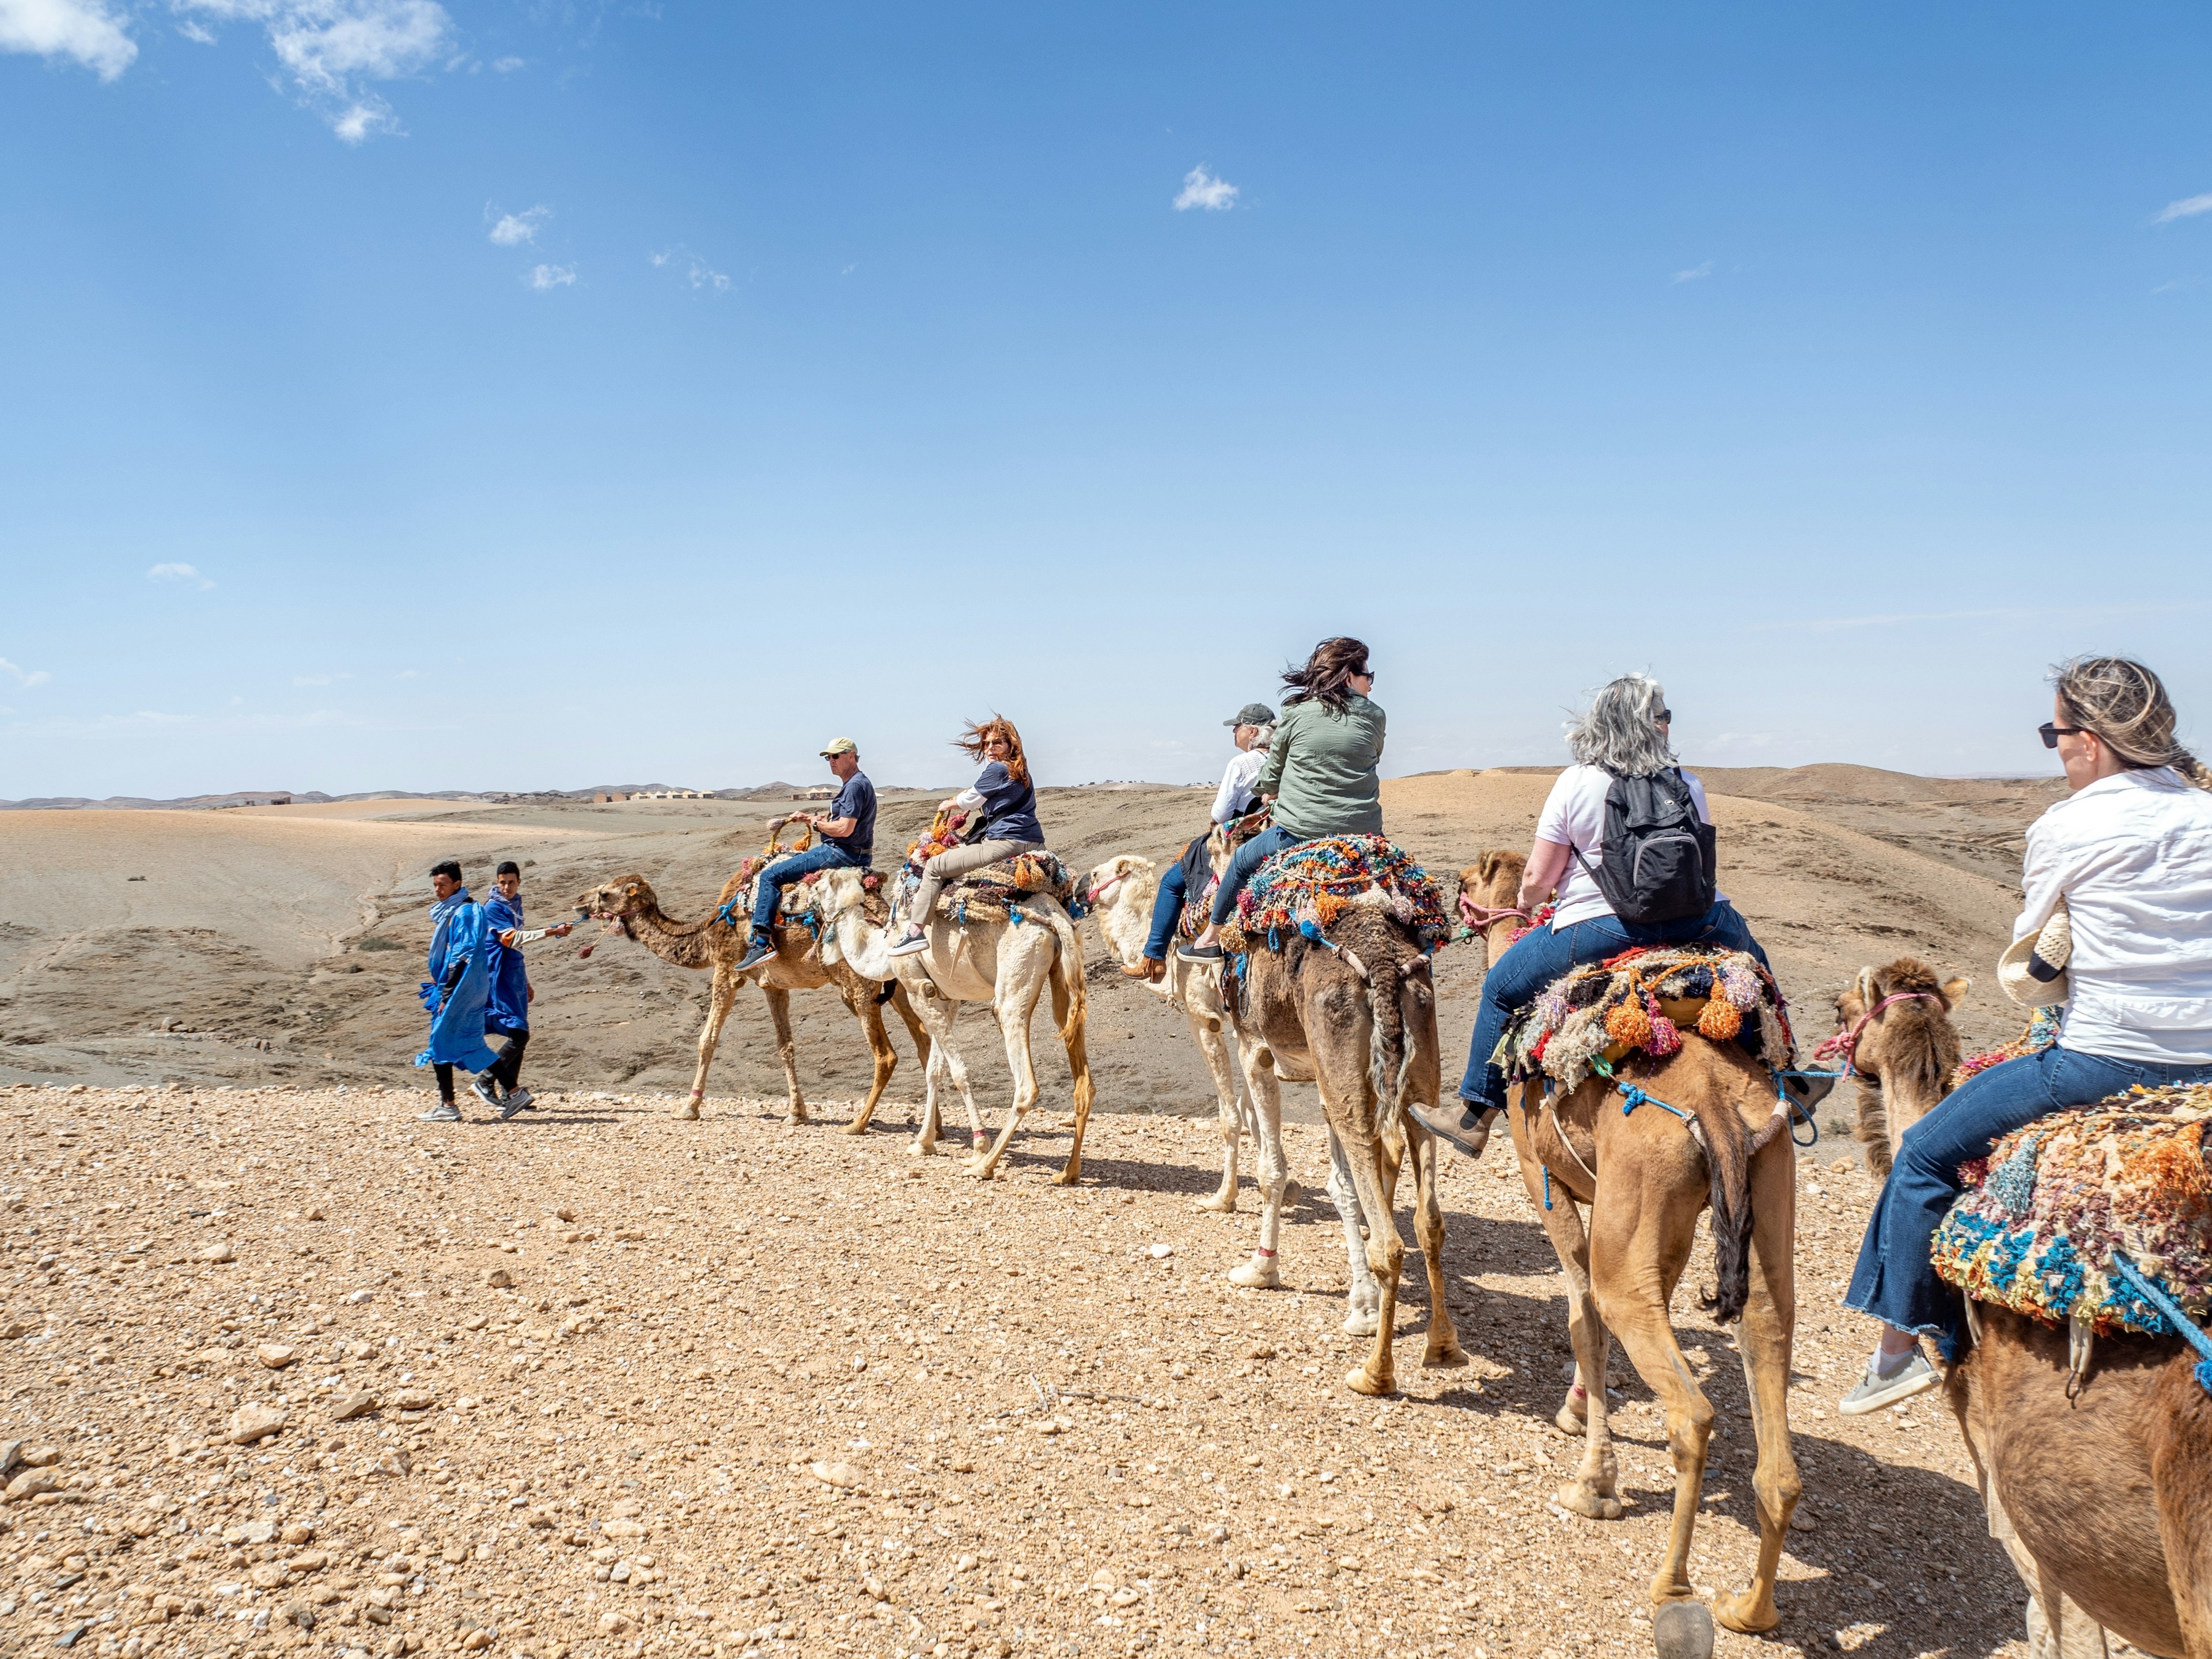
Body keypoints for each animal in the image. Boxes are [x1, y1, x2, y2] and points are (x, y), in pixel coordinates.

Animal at [575, 858, 929, 1132]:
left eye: (605, 893)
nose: (579, 900)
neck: (707, 933)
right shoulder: (774, 985)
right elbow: (786, 1046)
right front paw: (796, 1114)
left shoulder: (726, 969)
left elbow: (707, 1040)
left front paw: (689, 1108)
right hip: (897, 983)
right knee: (924, 1039)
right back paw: (933, 1128)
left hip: (857, 986)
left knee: (886, 1055)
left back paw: (857, 1124)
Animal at [805, 858, 1097, 1185]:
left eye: (818, 886)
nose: (806, 900)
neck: (883, 949)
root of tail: (1054, 915)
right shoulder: (947, 997)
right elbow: (934, 1070)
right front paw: (923, 1142)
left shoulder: (917, 989)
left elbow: (958, 1072)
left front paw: (978, 1144)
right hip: (1064, 970)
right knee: (1077, 1061)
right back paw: (1069, 1172)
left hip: (1015, 978)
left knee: (1024, 1081)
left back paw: (985, 1165)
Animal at [1460, 858, 1805, 1637]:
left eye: (1468, 881)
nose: (1448, 896)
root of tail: (1714, 1102)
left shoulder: (1544, 1181)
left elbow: (1582, 1317)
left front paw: (1594, 1481)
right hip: (1765, 1184)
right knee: (1767, 1345)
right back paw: (1751, 1608)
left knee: (1687, 1406)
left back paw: (1671, 1588)